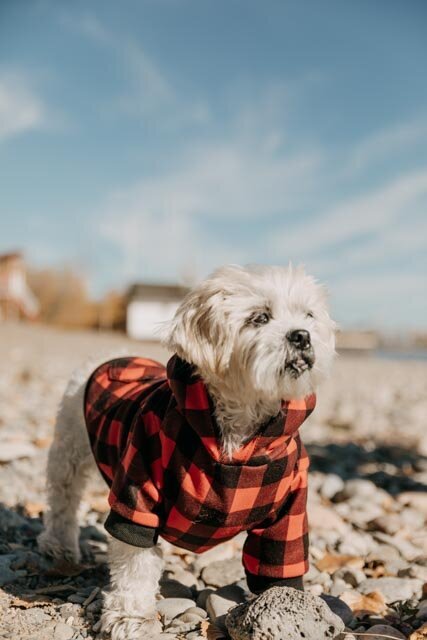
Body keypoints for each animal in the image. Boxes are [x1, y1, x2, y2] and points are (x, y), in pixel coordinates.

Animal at [38, 262, 336, 636]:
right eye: (260, 317)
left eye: (308, 315)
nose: (302, 336)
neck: (236, 439)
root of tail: (113, 355)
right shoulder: (138, 490)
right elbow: (135, 563)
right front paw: (129, 617)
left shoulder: (289, 509)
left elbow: (278, 561)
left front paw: (285, 612)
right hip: (68, 452)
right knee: (63, 499)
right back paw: (60, 545)